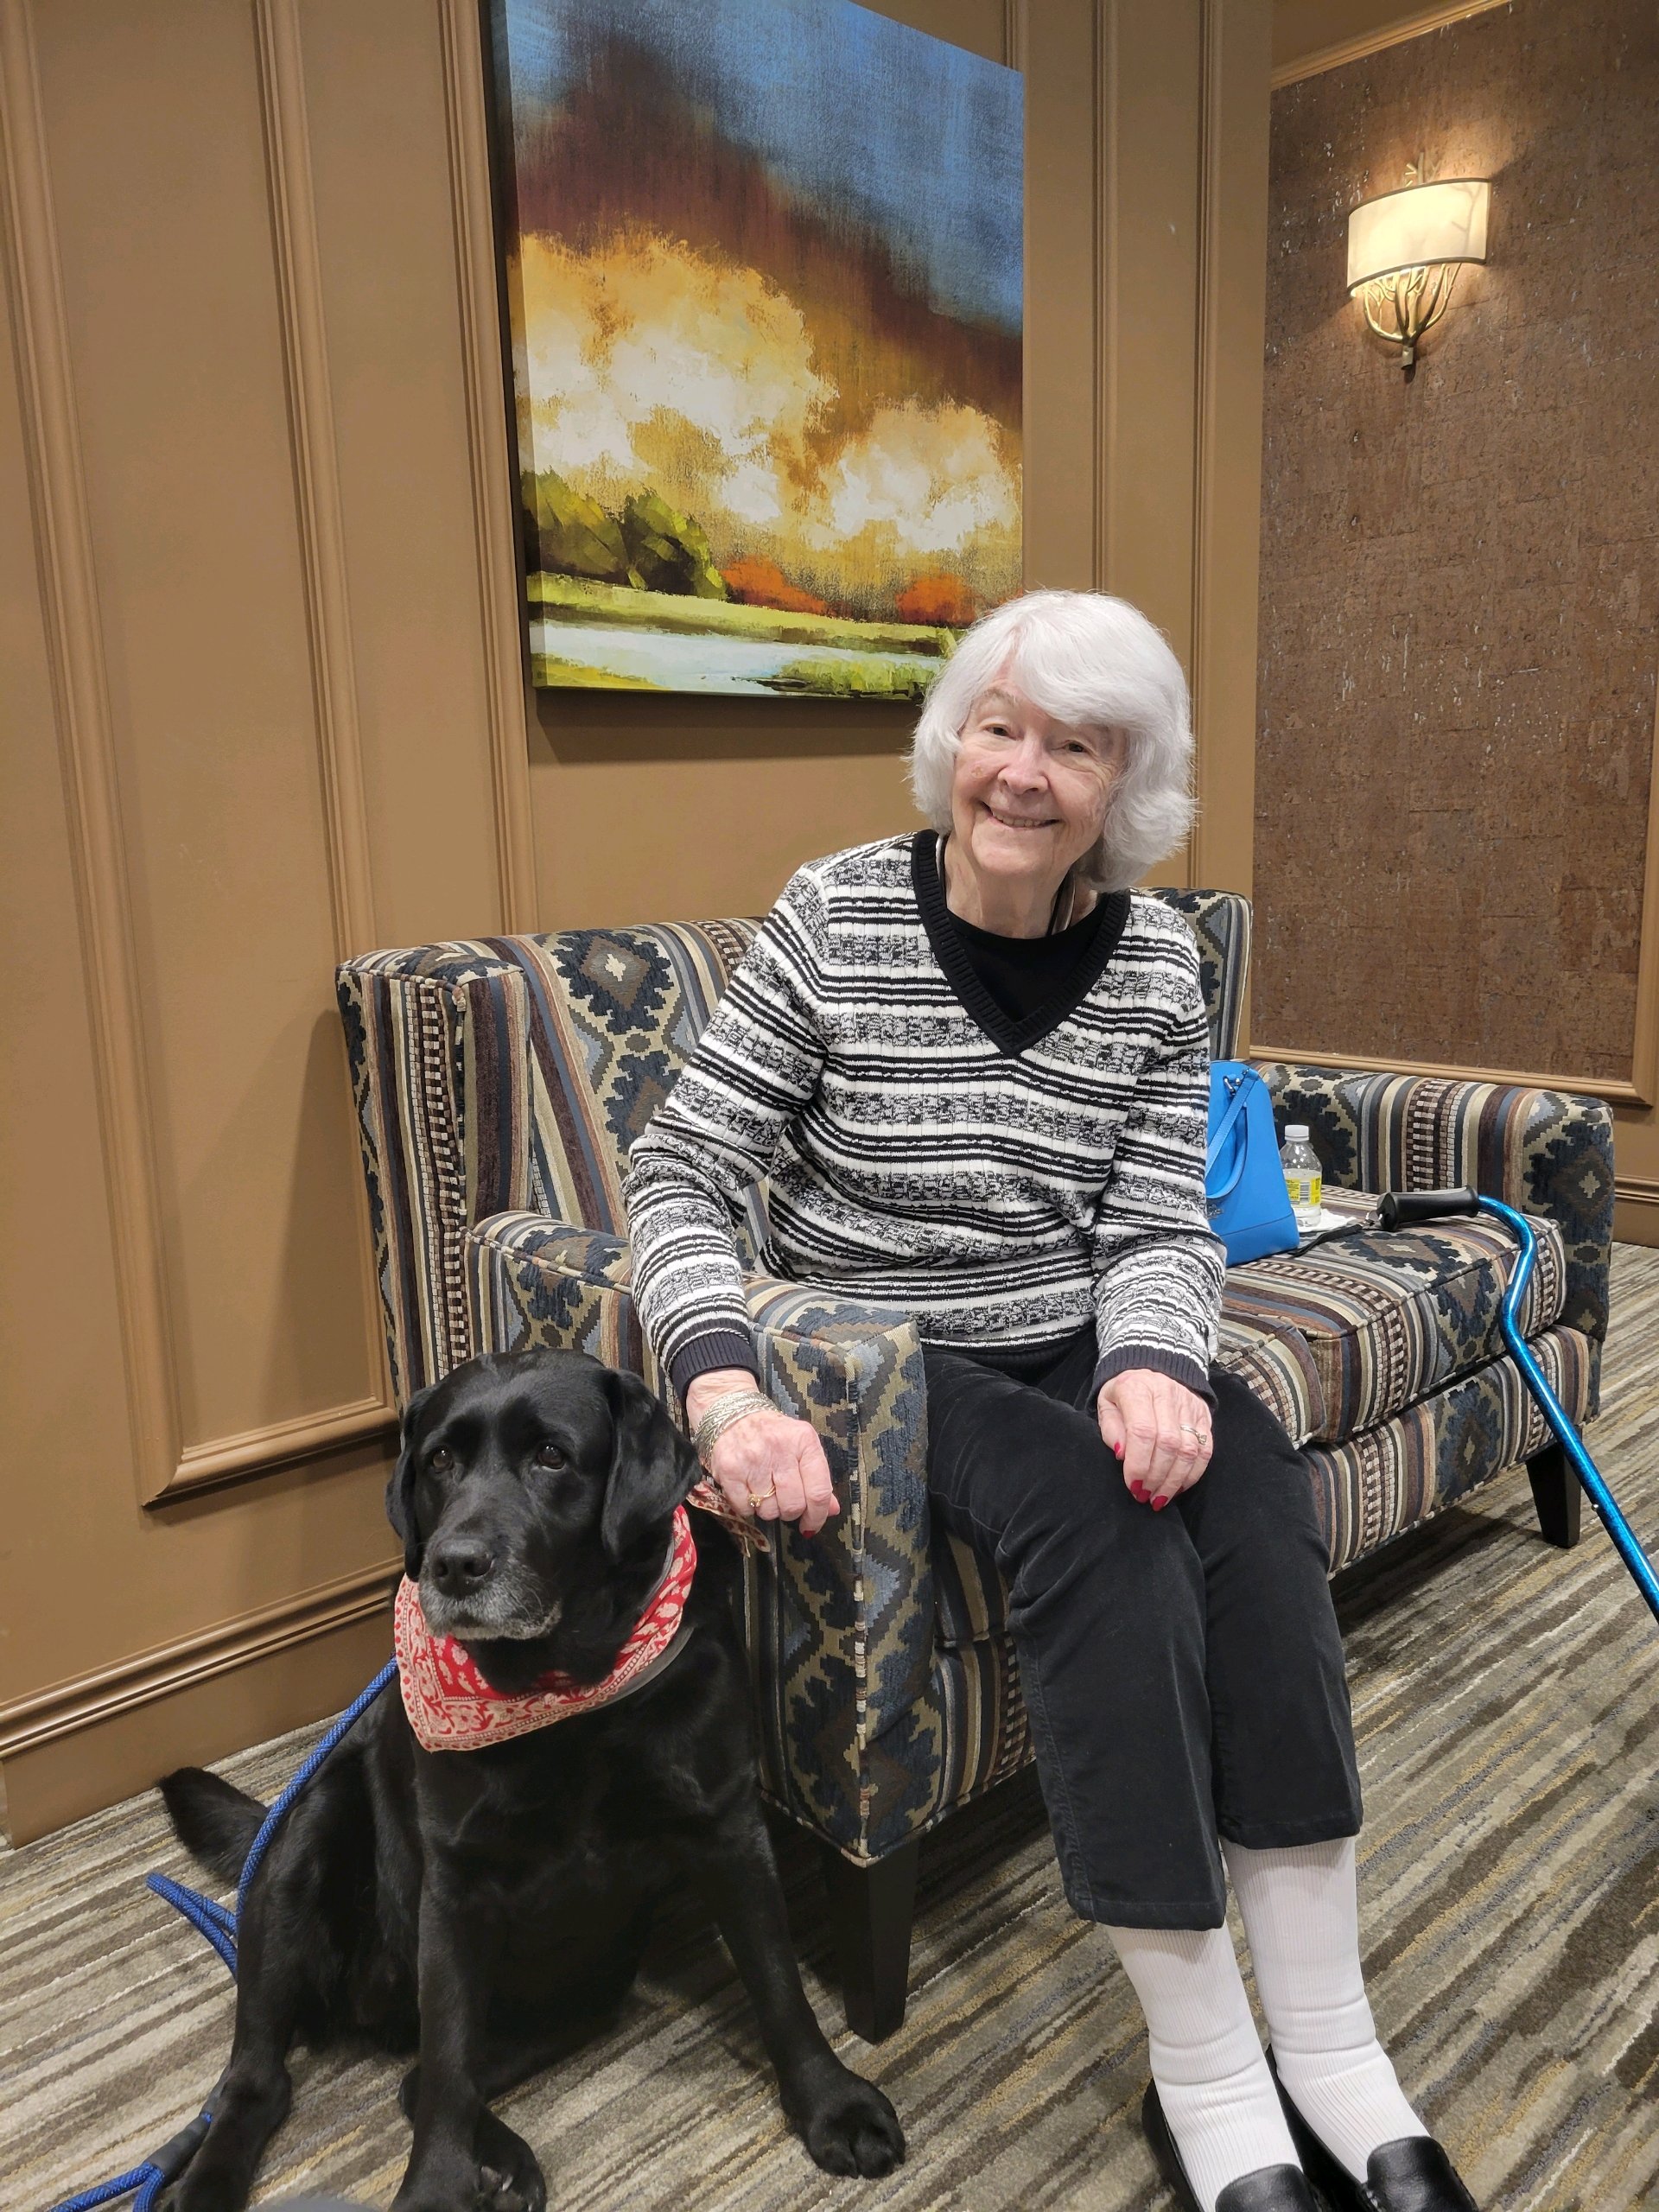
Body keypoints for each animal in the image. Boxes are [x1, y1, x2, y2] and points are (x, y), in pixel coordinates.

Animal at [162, 1344, 902, 2212]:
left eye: (552, 1456)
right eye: (439, 1461)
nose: (453, 1563)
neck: (569, 1691)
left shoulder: (727, 1828)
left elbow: (779, 1981)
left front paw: (831, 2102)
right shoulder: (454, 1885)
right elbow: (450, 2062)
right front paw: (435, 2187)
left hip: (593, 1978)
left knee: (413, 2077)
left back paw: (504, 2163)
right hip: (299, 1850)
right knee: (263, 2080)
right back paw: (213, 2179)